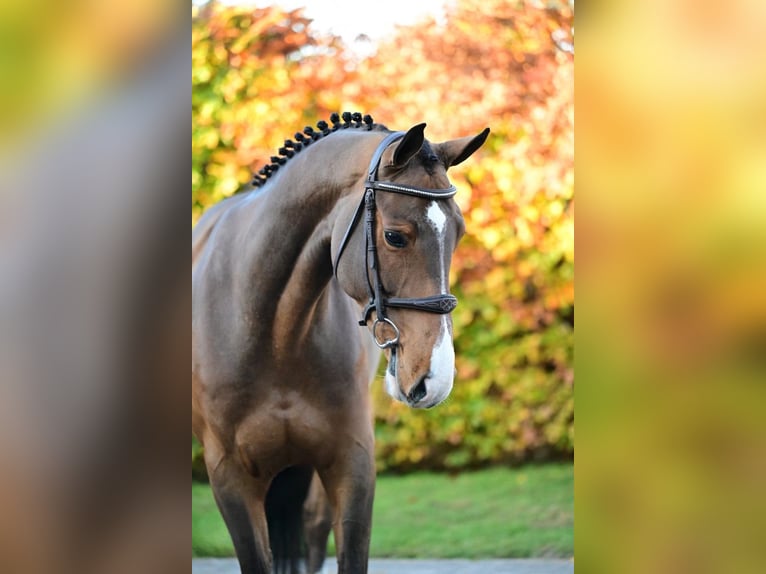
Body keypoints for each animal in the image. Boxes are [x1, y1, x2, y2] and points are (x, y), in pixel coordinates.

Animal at [192, 111, 489, 573]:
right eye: (395, 236)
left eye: (457, 234)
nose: (435, 379)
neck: (274, 335)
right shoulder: (230, 479)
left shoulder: (352, 465)